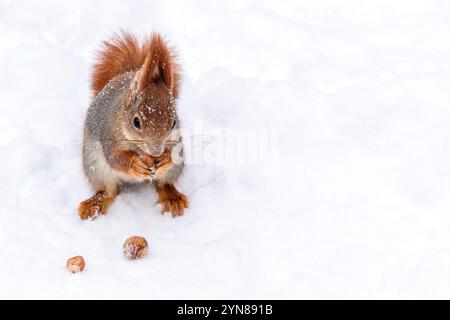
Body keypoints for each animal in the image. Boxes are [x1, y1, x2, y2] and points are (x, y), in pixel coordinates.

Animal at [77, 32, 188, 220]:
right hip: (95, 166)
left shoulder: (175, 140)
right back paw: (95, 204)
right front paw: (134, 164)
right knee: (109, 191)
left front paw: (166, 158)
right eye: (136, 122)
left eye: (174, 122)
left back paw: (172, 197)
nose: (156, 152)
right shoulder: (109, 134)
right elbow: (115, 157)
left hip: (176, 168)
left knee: (164, 183)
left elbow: (172, 153)